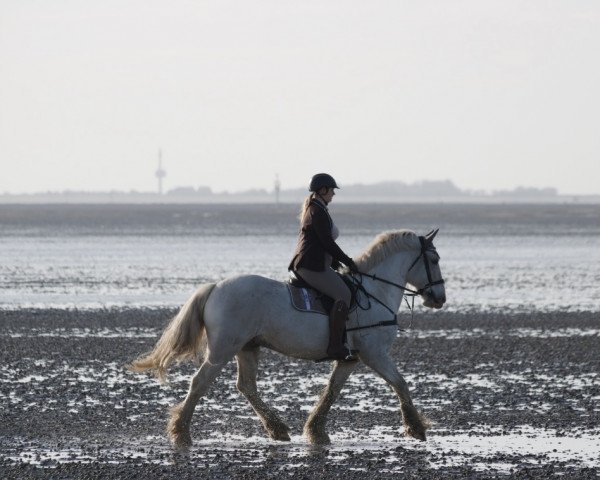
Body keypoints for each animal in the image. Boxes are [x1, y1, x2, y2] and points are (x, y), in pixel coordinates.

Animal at [132, 229, 450, 446]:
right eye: (434, 259)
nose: (440, 298)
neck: (374, 292)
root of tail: (216, 287)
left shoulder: (351, 359)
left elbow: (332, 391)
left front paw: (316, 431)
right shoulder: (375, 354)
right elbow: (400, 383)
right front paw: (416, 428)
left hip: (247, 348)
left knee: (246, 386)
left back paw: (277, 428)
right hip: (223, 349)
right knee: (200, 383)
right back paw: (181, 432)